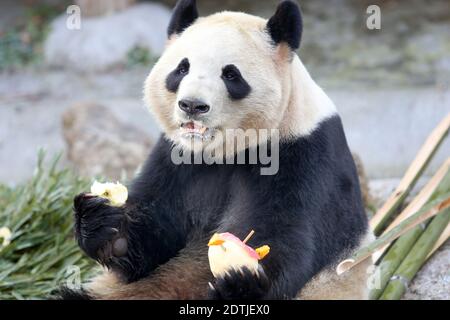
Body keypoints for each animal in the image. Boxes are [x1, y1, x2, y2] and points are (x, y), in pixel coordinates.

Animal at [61, 0, 374, 300]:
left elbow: (286, 237)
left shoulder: (303, 156)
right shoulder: (174, 158)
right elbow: (149, 240)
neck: (224, 151)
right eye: (181, 68)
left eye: (231, 74)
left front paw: (242, 283)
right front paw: (101, 222)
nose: (192, 105)